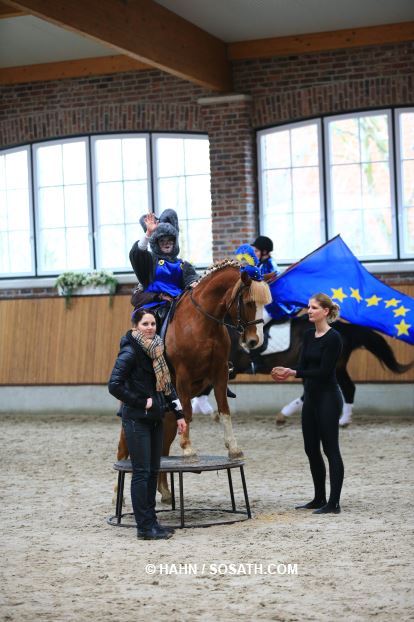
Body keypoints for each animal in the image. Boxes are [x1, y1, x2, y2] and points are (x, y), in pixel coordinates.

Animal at [115, 259, 272, 503]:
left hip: (167, 418)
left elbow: (225, 411)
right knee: (123, 450)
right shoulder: (183, 377)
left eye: (266, 304)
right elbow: (188, 412)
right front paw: (188, 449)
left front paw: (233, 448)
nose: (256, 341)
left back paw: (165, 491)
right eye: (248, 302)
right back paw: (117, 497)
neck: (202, 322)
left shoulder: (219, 375)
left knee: (162, 449)